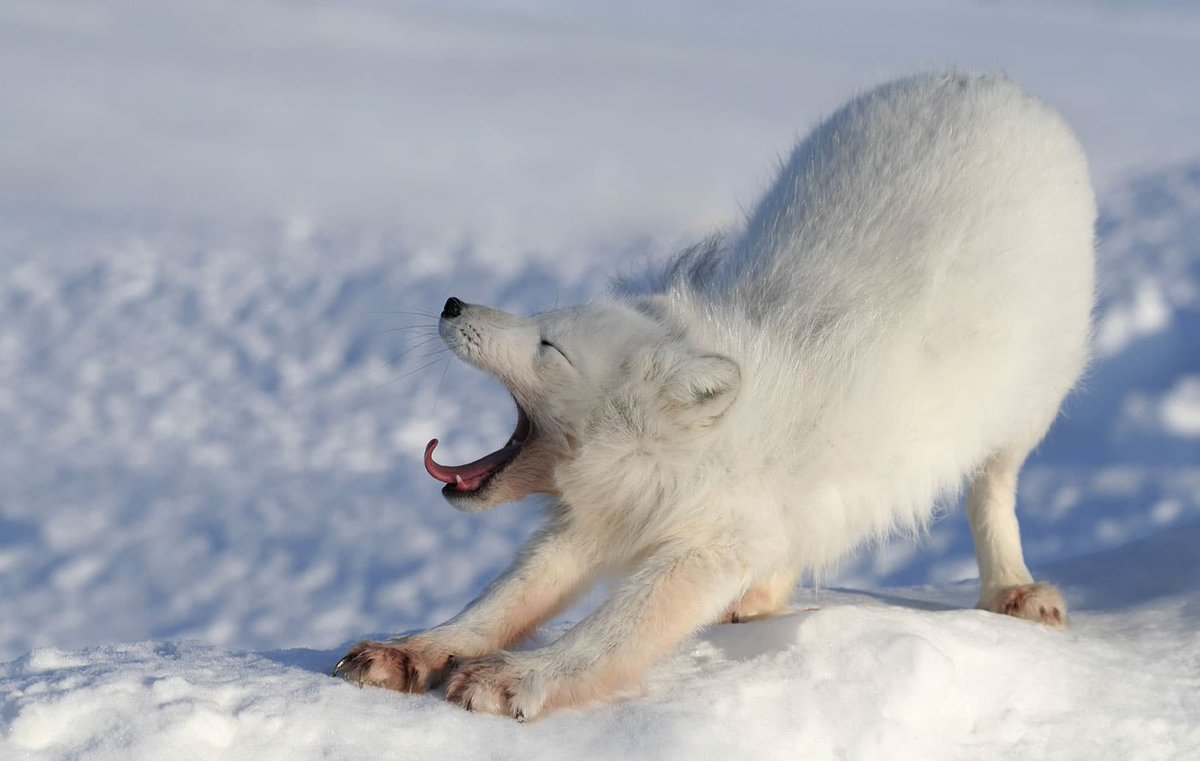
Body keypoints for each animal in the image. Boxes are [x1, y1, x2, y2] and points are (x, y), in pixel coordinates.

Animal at [335, 72, 1096, 720]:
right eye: (539, 321)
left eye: (550, 346)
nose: (453, 303)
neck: (673, 458)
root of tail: (986, 81)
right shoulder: (598, 521)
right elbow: (502, 599)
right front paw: (413, 650)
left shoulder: (706, 547)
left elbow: (616, 630)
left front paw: (520, 677)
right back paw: (760, 601)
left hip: (1024, 410)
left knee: (993, 489)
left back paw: (1012, 588)